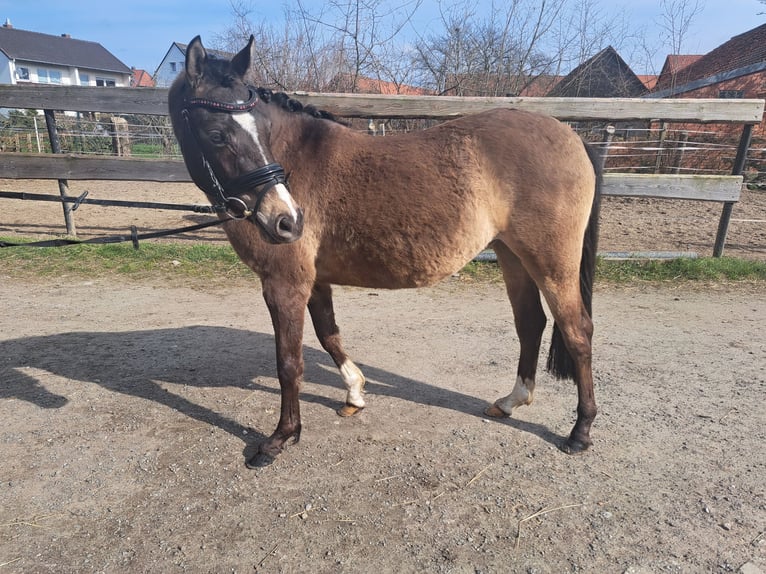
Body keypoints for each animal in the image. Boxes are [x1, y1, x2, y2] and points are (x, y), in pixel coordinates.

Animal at [170, 36, 608, 470]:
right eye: (216, 133)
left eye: (261, 129)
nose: (287, 221)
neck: (297, 159)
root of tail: (572, 137)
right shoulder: (315, 281)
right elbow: (328, 335)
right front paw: (354, 394)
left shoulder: (284, 283)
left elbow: (289, 362)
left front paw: (280, 438)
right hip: (512, 256)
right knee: (530, 323)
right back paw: (511, 402)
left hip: (551, 263)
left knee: (577, 331)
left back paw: (581, 432)